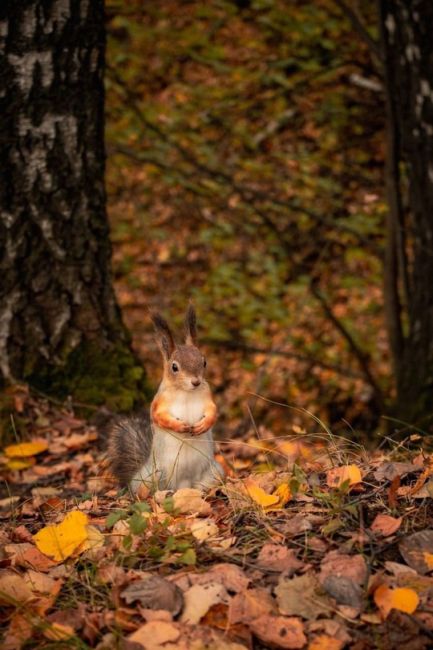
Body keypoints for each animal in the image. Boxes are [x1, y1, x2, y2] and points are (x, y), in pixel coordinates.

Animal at [104, 304, 223, 492]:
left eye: (204, 362)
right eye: (174, 367)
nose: (196, 381)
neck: (185, 391)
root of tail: (183, 484)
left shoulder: (207, 396)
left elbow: (213, 411)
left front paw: (204, 424)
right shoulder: (159, 401)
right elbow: (159, 416)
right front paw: (179, 426)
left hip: (214, 471)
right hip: (152, 477)